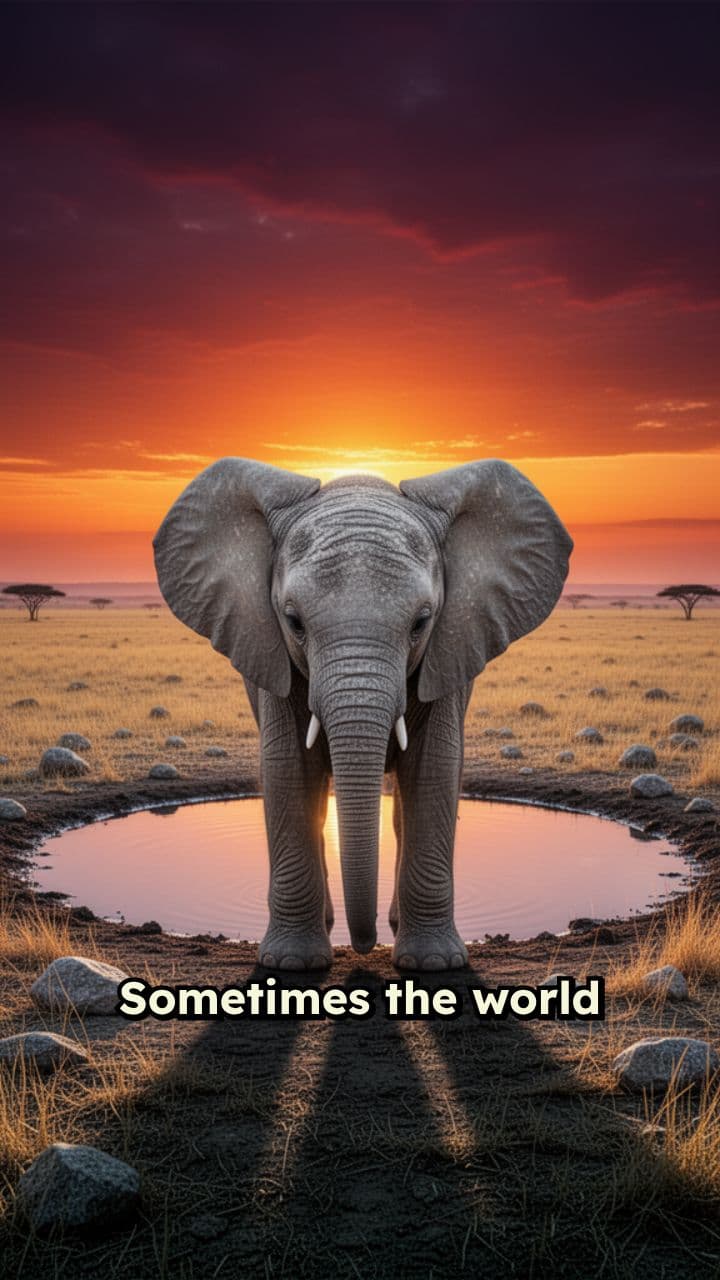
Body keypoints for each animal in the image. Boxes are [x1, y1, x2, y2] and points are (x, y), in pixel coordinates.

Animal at [154, 457, 572, 971]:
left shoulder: (450, 649)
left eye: (421, 623)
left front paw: (434, 964)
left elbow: (434, 770)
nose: (362, 946)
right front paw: (291, 965)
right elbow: (288, 770)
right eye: (293, 621)